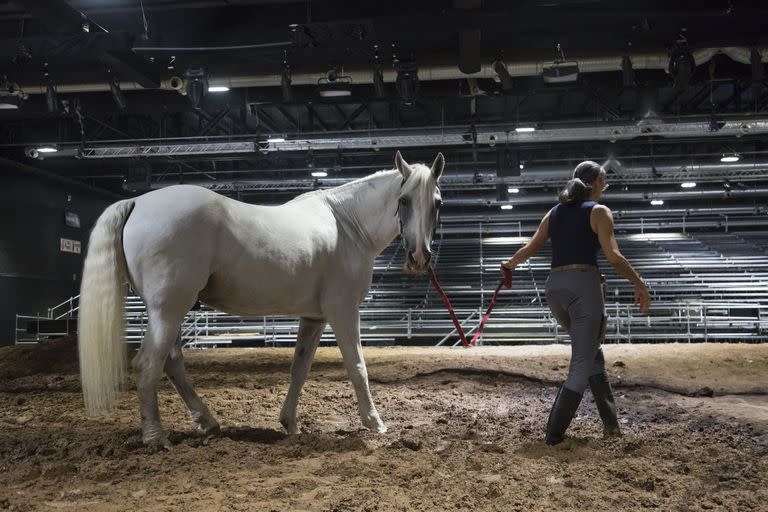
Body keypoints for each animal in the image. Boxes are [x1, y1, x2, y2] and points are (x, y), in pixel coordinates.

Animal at [78, 150, 444, 446]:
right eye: (404, 200)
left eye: (437, 203)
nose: (419, 257)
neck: (347, 224)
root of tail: (138, 202)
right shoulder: (343, 311)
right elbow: (357, 366)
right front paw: (375, 423)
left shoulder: (314, 317)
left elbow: (299, 368)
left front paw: (290, 424)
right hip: (168, 310)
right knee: (148, 364)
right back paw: (156, 438)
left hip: (170, 312)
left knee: (173, 363)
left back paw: (208, 422)